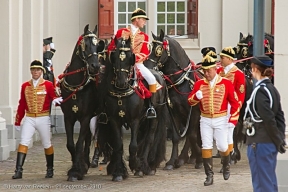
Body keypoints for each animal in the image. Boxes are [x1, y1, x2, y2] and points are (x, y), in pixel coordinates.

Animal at [58, 24, 104, 181]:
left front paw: (77, 170)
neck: (76, 85)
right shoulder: (68, 118)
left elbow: (79, 144)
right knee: (89, 139)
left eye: (98, 46)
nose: (95, 66)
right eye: (86, 45)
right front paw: (76, 167)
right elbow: (71, 144)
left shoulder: (85, 117)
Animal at [98, 36, 168, 182]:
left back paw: (144, 167)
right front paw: (119, 172)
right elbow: (118, 145)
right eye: (115, 57)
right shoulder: (114, 120)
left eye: (131, 57)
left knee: (149, 139)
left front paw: (134, 165)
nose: (121, 82)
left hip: (154, 117)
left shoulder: (134, 120)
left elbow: (133, 145)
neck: (122, 92)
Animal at [144, 29, 202, 170]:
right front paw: (172, 161)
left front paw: (199, 159)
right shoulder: (175, 112)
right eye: (151, 47)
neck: (181, 83)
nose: (146, 66)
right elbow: (177, 137)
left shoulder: (193, 113)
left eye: (159, 49)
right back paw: (186, 157)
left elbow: (191, 135)